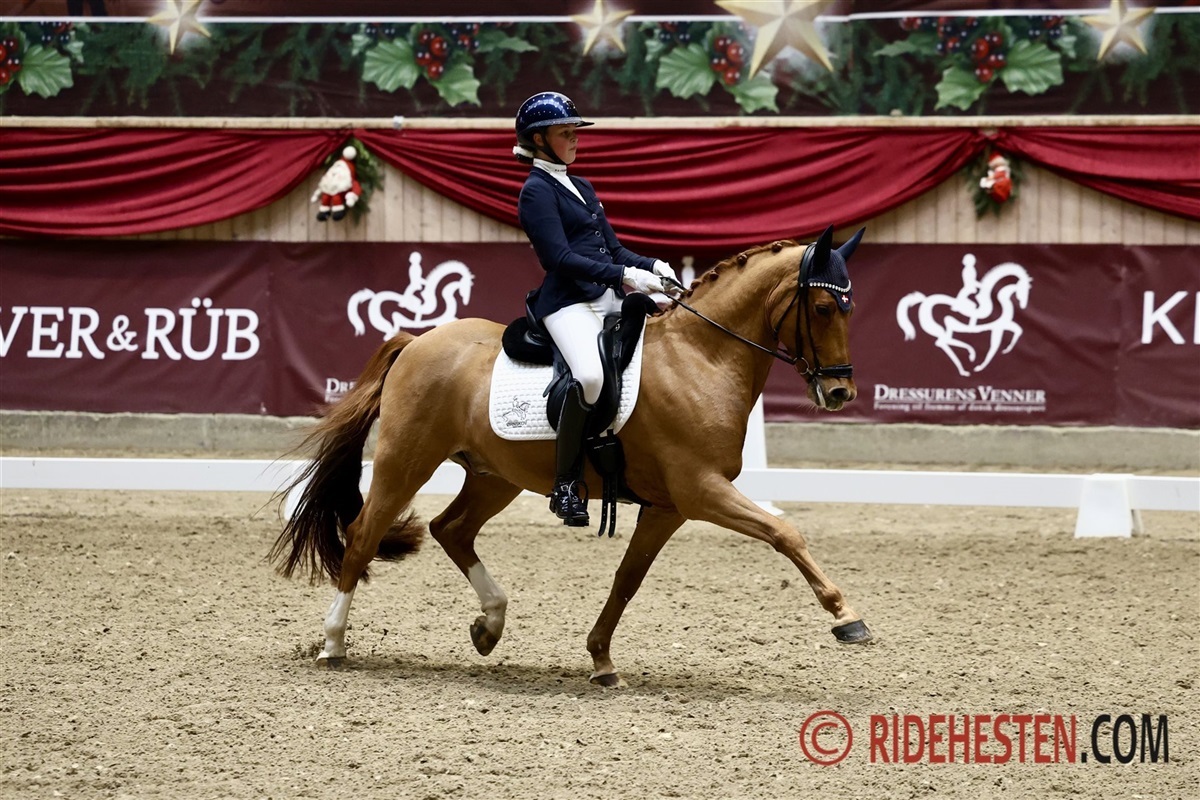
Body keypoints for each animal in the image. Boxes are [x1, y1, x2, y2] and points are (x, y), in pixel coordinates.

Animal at [270, 225, 873, 687]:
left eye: (850, 307)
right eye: (824, 306)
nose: (840, 393)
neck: (701, 357)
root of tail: (418, 340)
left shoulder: (667, 507)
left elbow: (627, 580)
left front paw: (602, 660)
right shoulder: (699, 490)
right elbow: (784, 532)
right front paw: (847, 617)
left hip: (496, 475)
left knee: (452, 529)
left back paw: (489, 625)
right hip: (407, 461)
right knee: (364, 536)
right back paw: (333, 644)